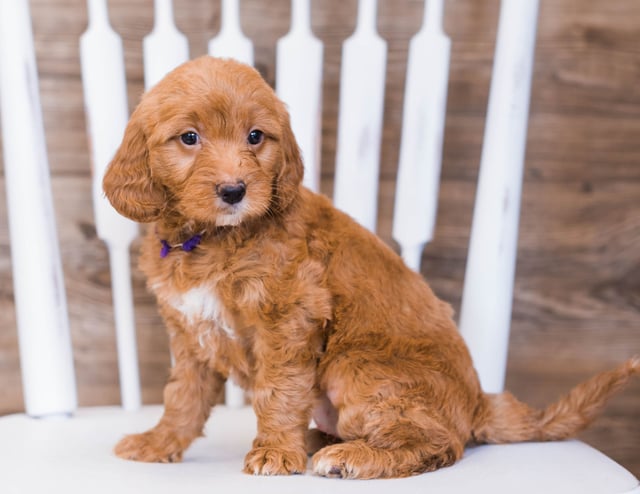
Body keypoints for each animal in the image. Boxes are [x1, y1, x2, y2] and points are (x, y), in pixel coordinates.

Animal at [102, 55, 636, 478]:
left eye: (256, 137)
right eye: (189, 138)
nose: (234, 190)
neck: (210, 239)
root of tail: (479, 402)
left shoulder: (291, 315)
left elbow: (278, 390)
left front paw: (274, 452)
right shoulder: (191, 332)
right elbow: (183, 396)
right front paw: (158, 442)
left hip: (353, 365)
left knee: (440, 443)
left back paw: (352, 456)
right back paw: (321, 442)